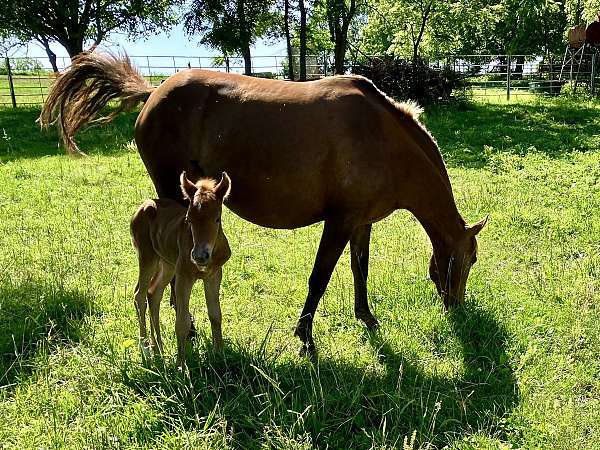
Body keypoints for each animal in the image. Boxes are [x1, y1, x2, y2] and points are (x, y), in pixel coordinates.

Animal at [130, 171, 231, 368]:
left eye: (217, 218)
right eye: (189, 219)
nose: (200, 256)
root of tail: (142, 207)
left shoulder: (214, 274)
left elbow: (215, 314)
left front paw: (220, 355)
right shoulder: (184, 275)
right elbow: (182, 322)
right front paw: (181, 365)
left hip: (167, 264)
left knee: (153, 292)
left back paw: (159, 348)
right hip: (147, 256)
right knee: (140, 294)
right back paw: (146, 350)